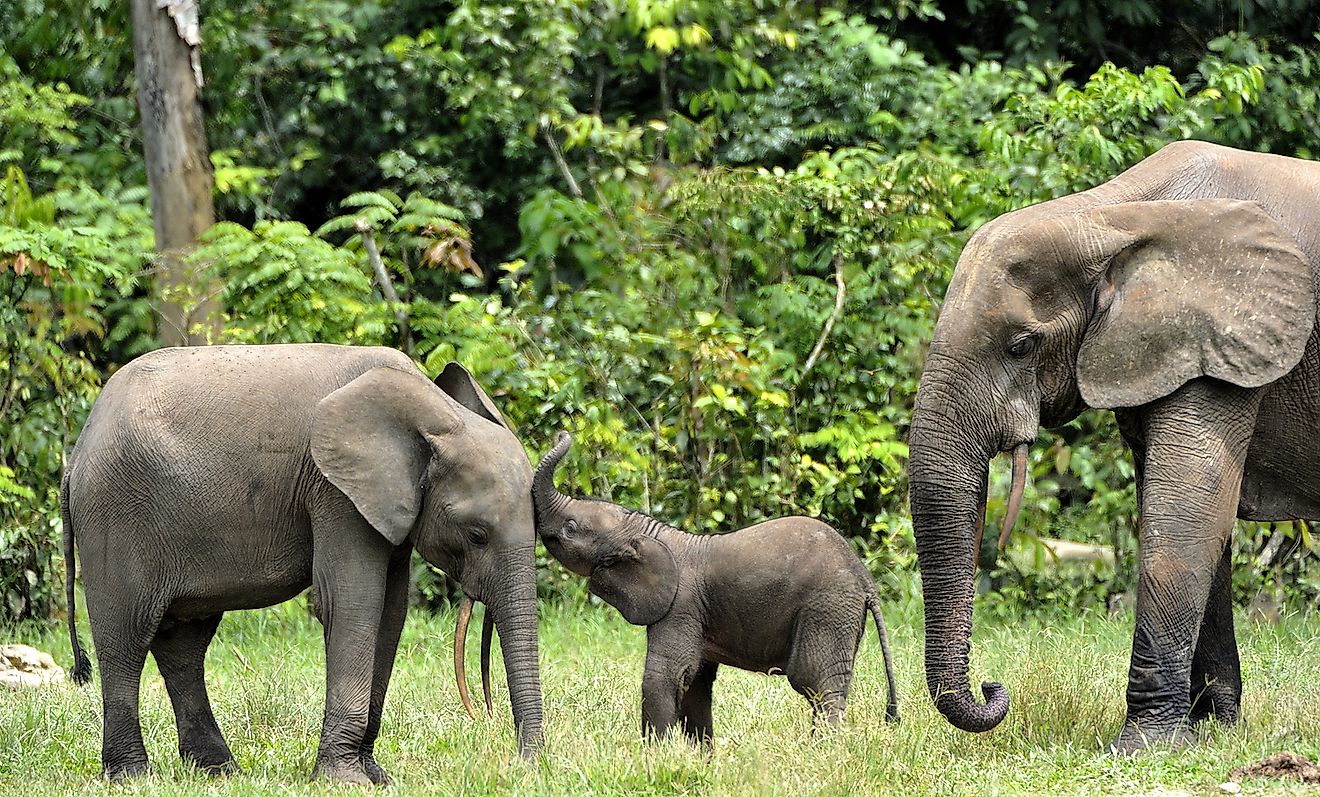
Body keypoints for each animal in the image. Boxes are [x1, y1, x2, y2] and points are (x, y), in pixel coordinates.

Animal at [64, 345, 538, 781]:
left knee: (184, 642)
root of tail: (78, 451)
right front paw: (345, 780)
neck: (434, 410)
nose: (522, 763)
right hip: (115, 515)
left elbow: (391, 613)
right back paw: (132, 776)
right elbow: (352, 603)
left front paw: (376, 776)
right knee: (126, 638)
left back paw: (219, 772)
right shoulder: (334, 493)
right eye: (476, 534)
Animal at [530, 432, 902, 744]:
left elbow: (664, 677)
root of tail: (865, 579)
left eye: (571, 528)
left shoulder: (679, 608)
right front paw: (702, 758)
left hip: (826, 609)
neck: (649, 532)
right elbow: (695, 683)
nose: (564, 432)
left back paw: (822, 750)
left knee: (817, 686)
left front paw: (655, 757)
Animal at [908, 141, 1320, 754]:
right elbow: (1195, 520)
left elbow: (1185, 515)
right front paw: (1212, 734)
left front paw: (1142, 747)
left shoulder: (1218, 336)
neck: (1107, 216)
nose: (992, 687)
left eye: (1020, 345)